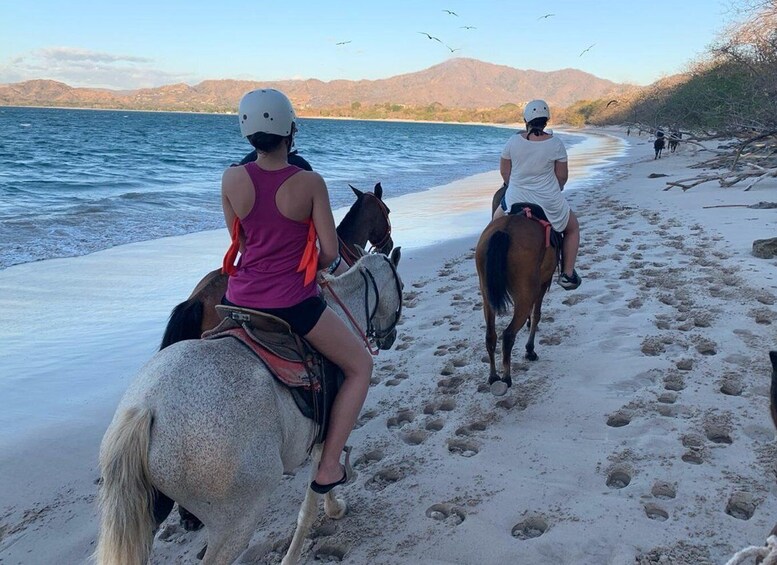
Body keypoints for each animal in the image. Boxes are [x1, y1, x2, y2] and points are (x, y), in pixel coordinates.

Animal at [94, 252, 404, 564]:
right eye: (400, 285)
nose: (390, 338)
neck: (344, 310)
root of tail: (146, 407)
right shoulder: (328, 432)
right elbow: (311, 502)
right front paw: (328, 513)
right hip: (238, 518)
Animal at [472, 213, 556, 396]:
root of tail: (505, 229)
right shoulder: (542, 284)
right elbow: (537, 314)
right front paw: (530, 350)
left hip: (487, 296)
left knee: (491, 335)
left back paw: (493, 377)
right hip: (525, 293)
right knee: (509, 334)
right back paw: (507, 377)